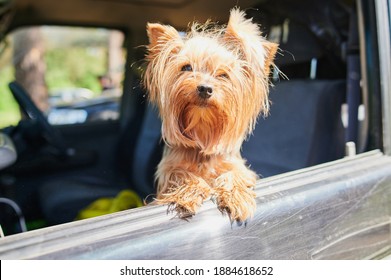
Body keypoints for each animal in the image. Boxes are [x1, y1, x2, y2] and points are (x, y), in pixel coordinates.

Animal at [144, 8, 278, 221]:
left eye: (223, 75)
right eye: (186, 67)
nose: (205, 88)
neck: (202, 133)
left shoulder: (237, 166)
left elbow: (236, 174)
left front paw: (237, 196)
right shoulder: (168, 172)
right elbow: (180, 173)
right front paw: (191, 192)